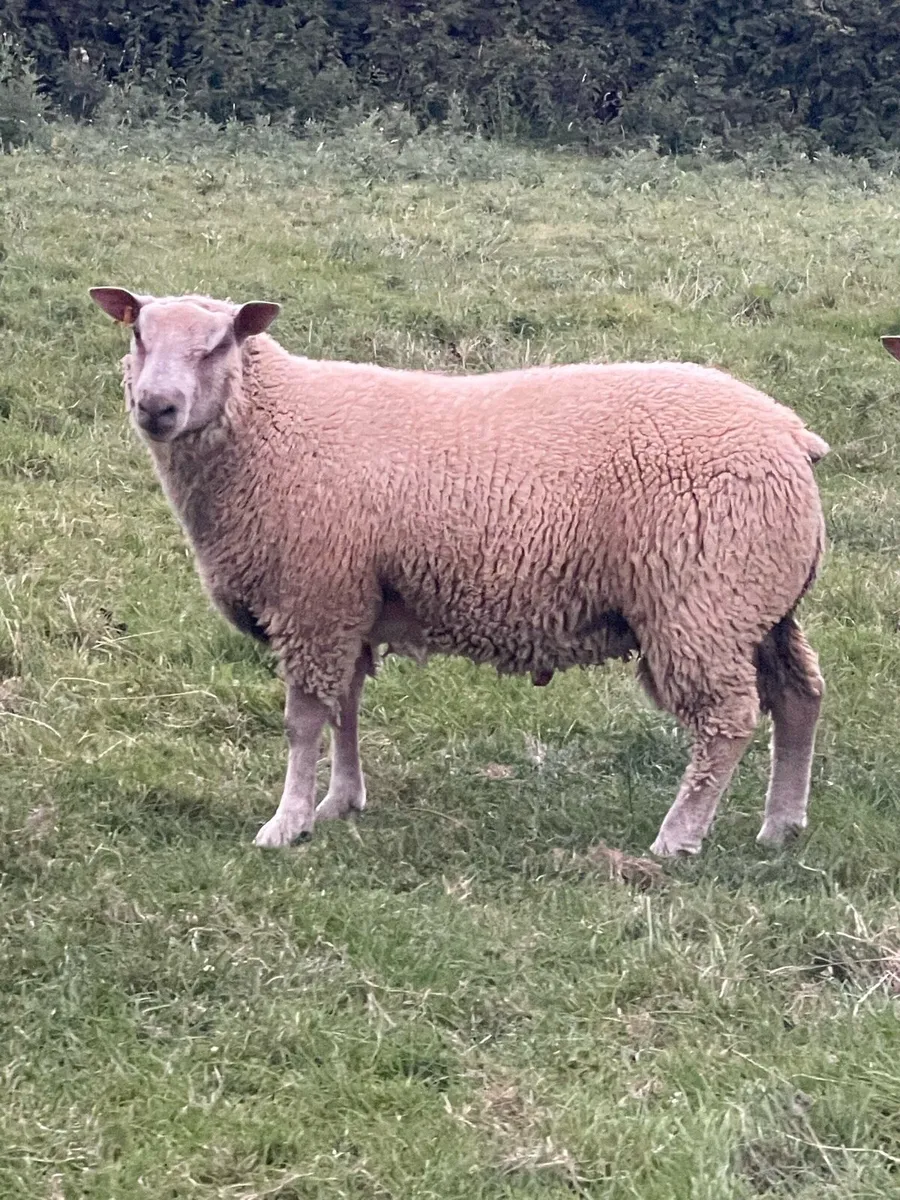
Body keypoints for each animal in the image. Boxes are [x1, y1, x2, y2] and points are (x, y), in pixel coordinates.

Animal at [89, 286, 828, 857]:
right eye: (138, 336)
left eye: (218, 345)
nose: (156, 407)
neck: (271, 425)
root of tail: (791, 434)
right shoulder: (349, 602)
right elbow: (345, 707)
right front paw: (341, 801)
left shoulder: (312, 598)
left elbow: (304, 722)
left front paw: (287, 822)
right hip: (758, 605)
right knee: (799, 697)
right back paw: (782, 825)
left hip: (699, 603)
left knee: (727, 721)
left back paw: (678, 837)